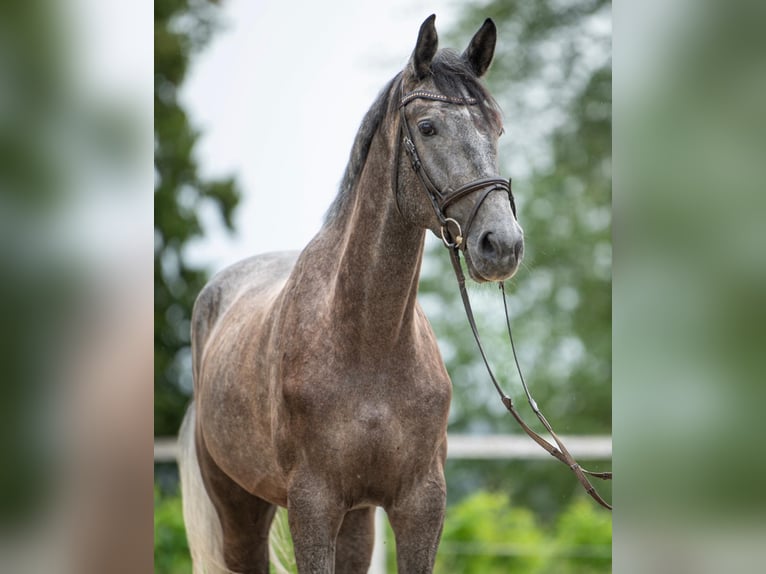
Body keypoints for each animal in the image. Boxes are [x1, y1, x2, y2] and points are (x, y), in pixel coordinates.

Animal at [181, 15, 528, 572]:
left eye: (495, 128)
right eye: (427, 127)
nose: (502, 245)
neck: (369, 342)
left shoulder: (419, 504)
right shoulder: (313, 504)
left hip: (357, 518)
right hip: (240, 508)